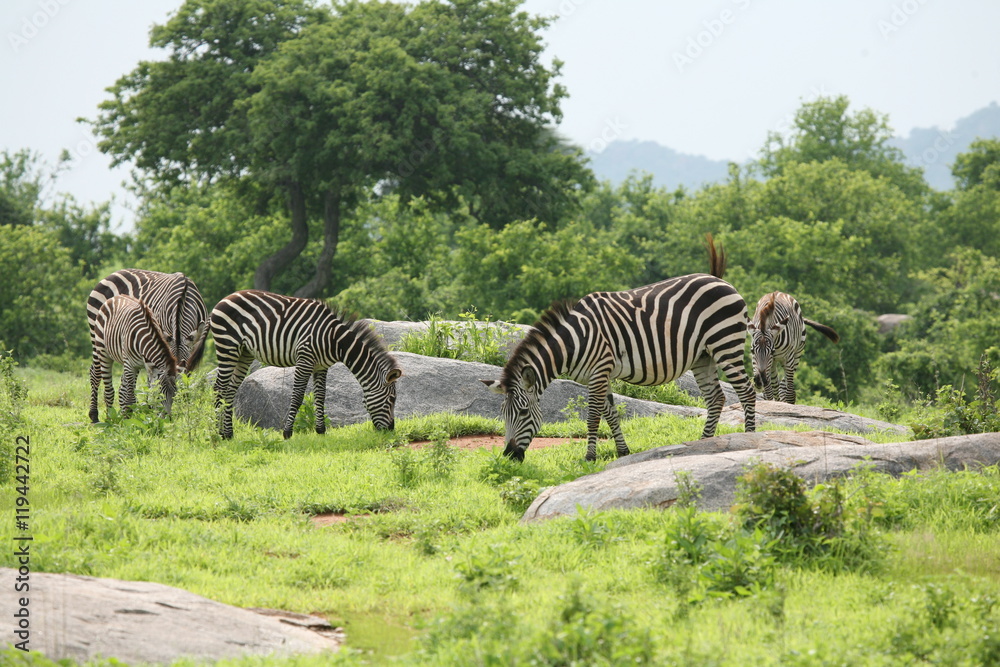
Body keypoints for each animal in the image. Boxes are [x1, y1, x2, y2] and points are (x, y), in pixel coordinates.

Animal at [210, 290, 402, 439]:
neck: (335, 341)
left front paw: (321, 431)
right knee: (219, 387)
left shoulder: (321, 366)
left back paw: (228, 434)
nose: (390, 429)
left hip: (244, 353)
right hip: (228, 347)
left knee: (230, 390)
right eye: (391, 399)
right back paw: (217, 433)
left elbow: (320, 396)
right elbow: (297, 396)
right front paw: (287, 432)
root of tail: (227, 297)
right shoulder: (305, 359)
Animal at [481, 235, 756, 462]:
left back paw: (748, 438)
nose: (509, 456)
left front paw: (589, 457)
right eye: (503, 414)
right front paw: (623, 451)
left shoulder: (599, 370)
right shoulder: (598, 375)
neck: (574, 341)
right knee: (716, 397)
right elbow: (610, 413)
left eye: (523, 412)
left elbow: (593, 415)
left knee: (746, 392)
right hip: (703, 356)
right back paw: (704, 442)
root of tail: (719, 279)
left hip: (725, 343)